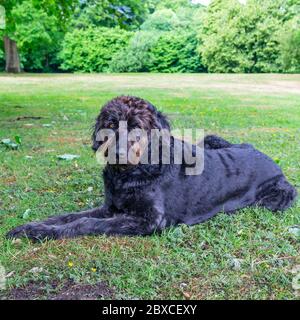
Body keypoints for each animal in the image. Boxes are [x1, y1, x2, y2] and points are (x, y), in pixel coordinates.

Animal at [7, 95, 298, 240]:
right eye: (110, 123)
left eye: (137, 126)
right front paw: (33, 227)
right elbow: (69, 216)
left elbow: (85, 223)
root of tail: (267, 157)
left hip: (276, 198)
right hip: (212, 139)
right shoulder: (111, 207)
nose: (117, 153)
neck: (131, 174)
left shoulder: (150, 220)